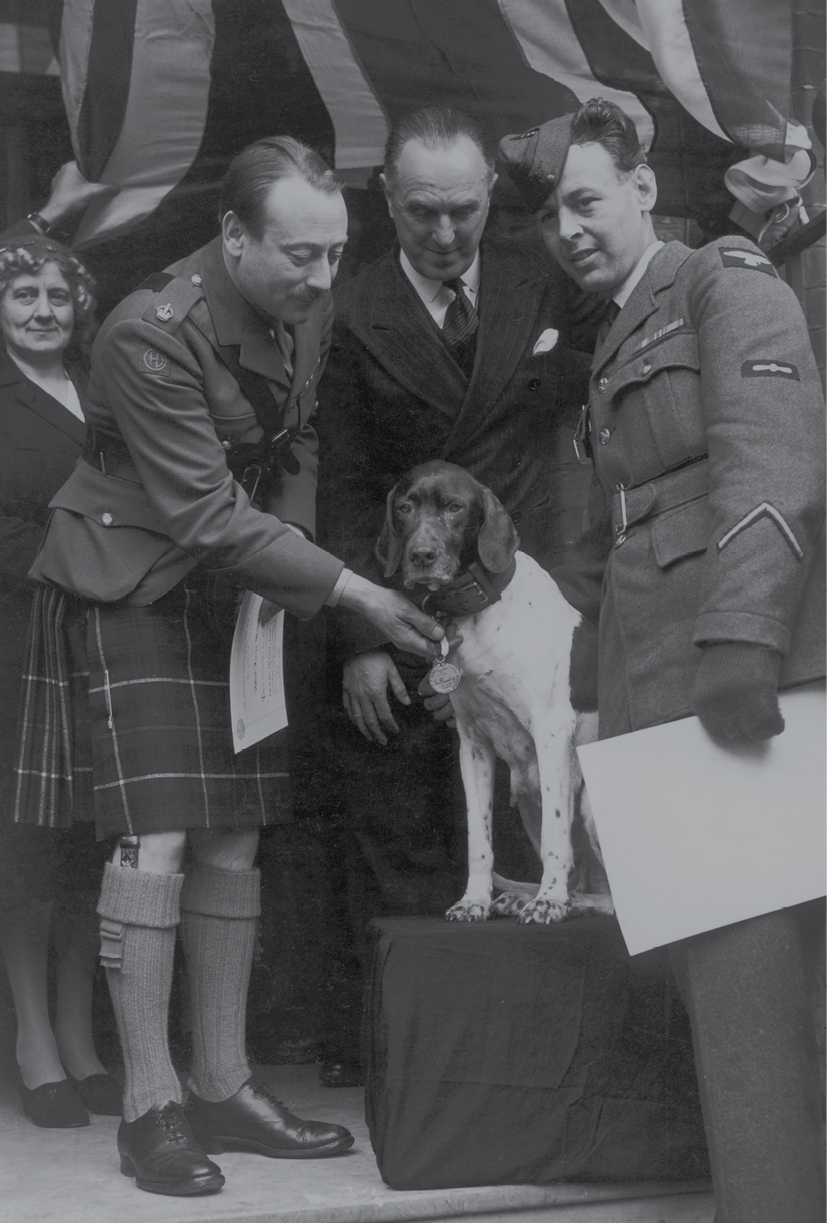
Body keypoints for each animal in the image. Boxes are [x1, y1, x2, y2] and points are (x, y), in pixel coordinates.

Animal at [376, 462, 611, 919]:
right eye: (405, 508)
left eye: (454, 508)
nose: (421, 556)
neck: (479, 609)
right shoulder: (473, 744)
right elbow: (478, 842)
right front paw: (474, 901)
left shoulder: (551, 730)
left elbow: (557, 838)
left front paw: (548, 902)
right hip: (527, 800)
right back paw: (524, 898)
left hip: (590, 806)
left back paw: (567, 902)